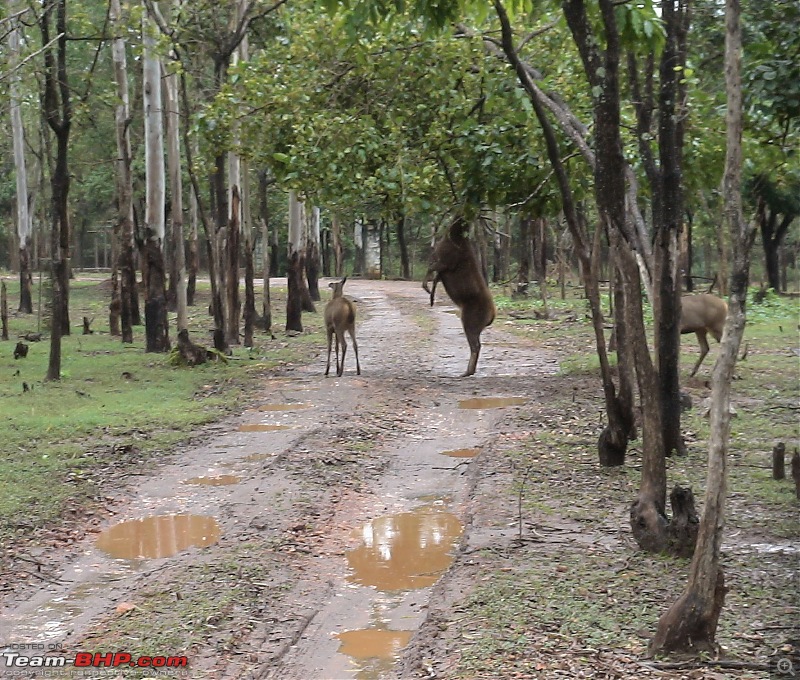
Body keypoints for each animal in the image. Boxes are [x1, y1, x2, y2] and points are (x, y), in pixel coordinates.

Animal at [424, 215, 494, 378]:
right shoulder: (441, 268)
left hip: (471, 320)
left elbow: (429, 271)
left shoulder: (444, 262)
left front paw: (426, 288)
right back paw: (469, 371)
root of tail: (491, 316)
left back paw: (467, 372)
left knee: (476, 345)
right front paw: (431, 297)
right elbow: (434, 278)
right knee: (477, 344)